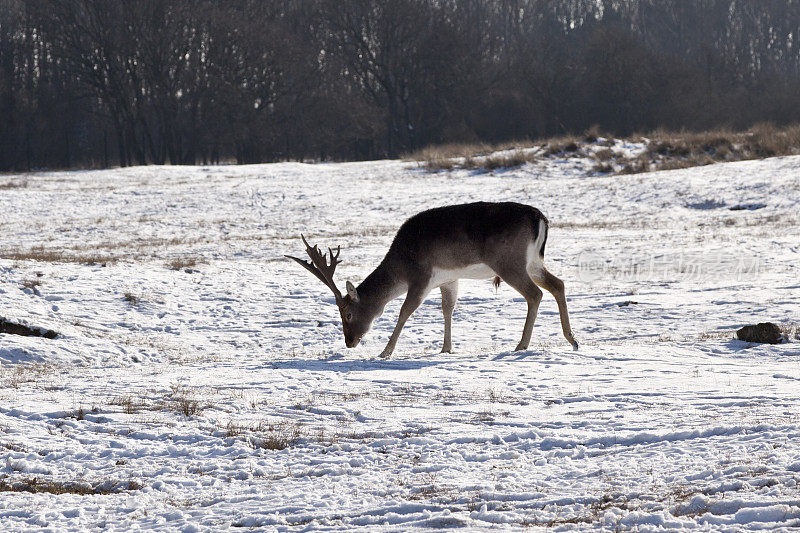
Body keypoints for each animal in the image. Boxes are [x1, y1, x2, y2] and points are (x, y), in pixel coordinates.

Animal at [284, 202, 580, 360]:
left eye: (346, 313)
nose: (349, 342)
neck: (401, 264)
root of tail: (541, 219)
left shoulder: (421, 276)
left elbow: (405, 311)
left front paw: (385, 352)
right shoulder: (448, 278)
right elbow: (448, 308)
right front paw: (446, 348)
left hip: (509, 262)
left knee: (535, 294)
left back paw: (522, 344)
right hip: (533, 262)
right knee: (558, 284)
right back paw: (572, 339)